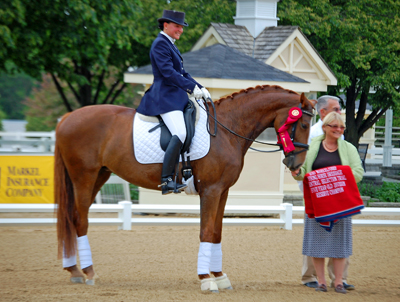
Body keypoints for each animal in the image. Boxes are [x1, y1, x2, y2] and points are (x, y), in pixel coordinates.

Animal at [54, 84, 316, 290]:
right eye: (303, 124)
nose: (296, 164)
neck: (226, 129)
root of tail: (67, 117)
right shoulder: (210, 190)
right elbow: (206, 232)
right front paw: (206, 279)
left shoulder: (223, 191)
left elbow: (217, 232)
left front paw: (220, 276)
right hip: (84, 177)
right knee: (80, 219)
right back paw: (88, 272)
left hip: (100, 175)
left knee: (73, 217)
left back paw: (74, 270)